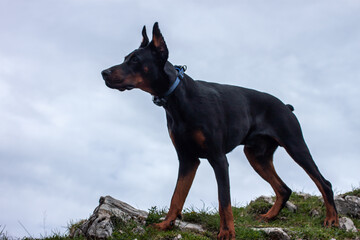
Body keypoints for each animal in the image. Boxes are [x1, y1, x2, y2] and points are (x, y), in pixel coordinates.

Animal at [100, 22, 338, 238]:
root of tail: (286, 106)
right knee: (284, 189)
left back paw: (332, 220)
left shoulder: (218, 159)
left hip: (295, 145)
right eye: (125, 57)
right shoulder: (187, 159)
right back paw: (269, 216)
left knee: (323, 182)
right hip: (256, 155)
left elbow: (224, 200)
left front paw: (226, 232)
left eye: (135, 60)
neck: (179, 99)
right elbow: (176, 196)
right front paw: (165, 224)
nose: (103, 72)